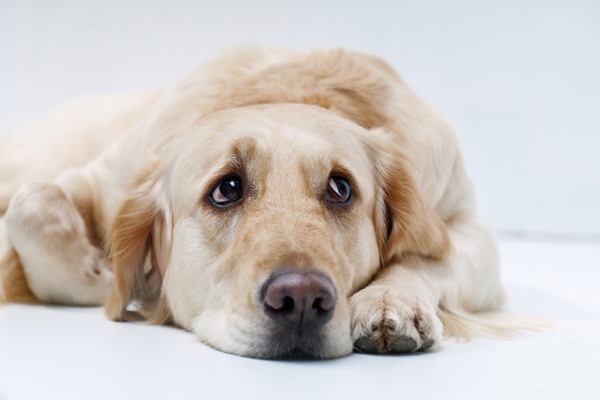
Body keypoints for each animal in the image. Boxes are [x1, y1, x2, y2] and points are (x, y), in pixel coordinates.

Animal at [2, 47, 512, 360]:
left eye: (341, 188)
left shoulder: (467, 226)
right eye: (226, 189)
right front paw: (97, 275)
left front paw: (390, 297)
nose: (302, 300)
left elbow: (426, 258)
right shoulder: (100, 180)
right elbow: (31, 206)